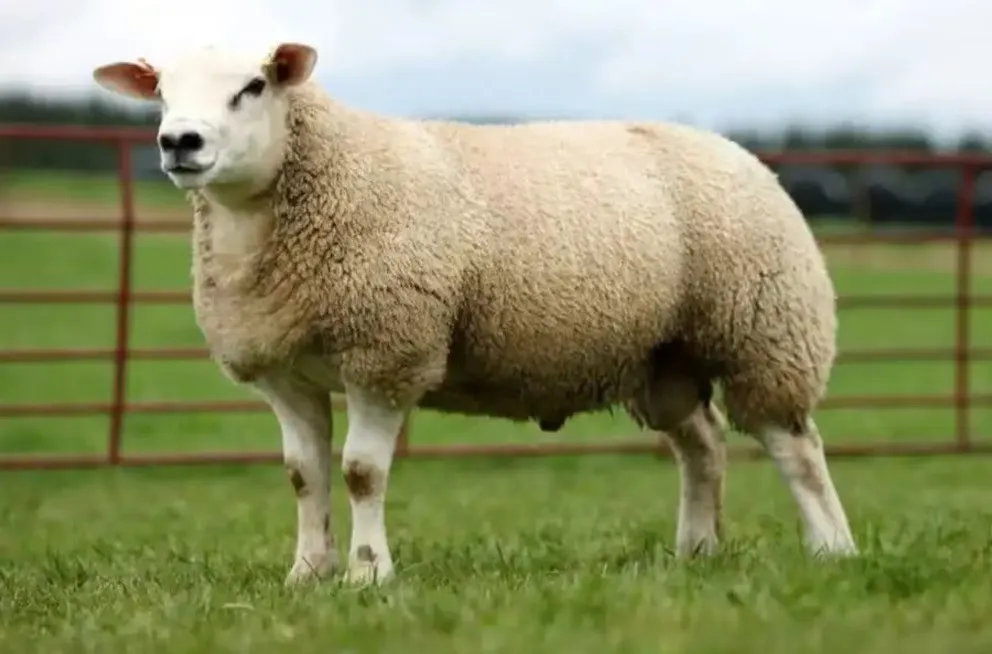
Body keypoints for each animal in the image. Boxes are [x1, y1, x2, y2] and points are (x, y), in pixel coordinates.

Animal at [92, 41, 858, 587]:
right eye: (161, 93)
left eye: (252, 87)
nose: (179, 142)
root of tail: (740, 152)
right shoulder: (286, 371)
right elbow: (303, 475)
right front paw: (307, 575)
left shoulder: (386, 351)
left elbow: (361, 472)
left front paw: (369, 577)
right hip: (662, 356)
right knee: (703, 443)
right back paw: (696, 551)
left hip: (765, 330)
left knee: (795, 446)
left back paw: (833, 550)